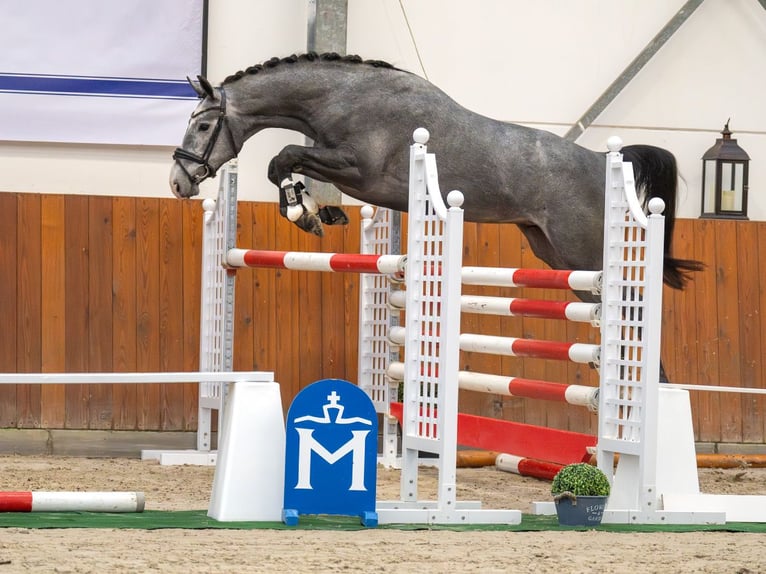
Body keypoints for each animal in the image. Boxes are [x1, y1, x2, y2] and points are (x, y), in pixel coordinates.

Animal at [170, 51, 704, 290]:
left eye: (202, 125)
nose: (177, 182)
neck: (343, 97)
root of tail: (603, 160)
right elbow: (286, 162)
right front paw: (316, 212)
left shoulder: (359, 169)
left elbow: (283, 156)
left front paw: (306, 214)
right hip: (550, 250)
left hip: (583, 252)